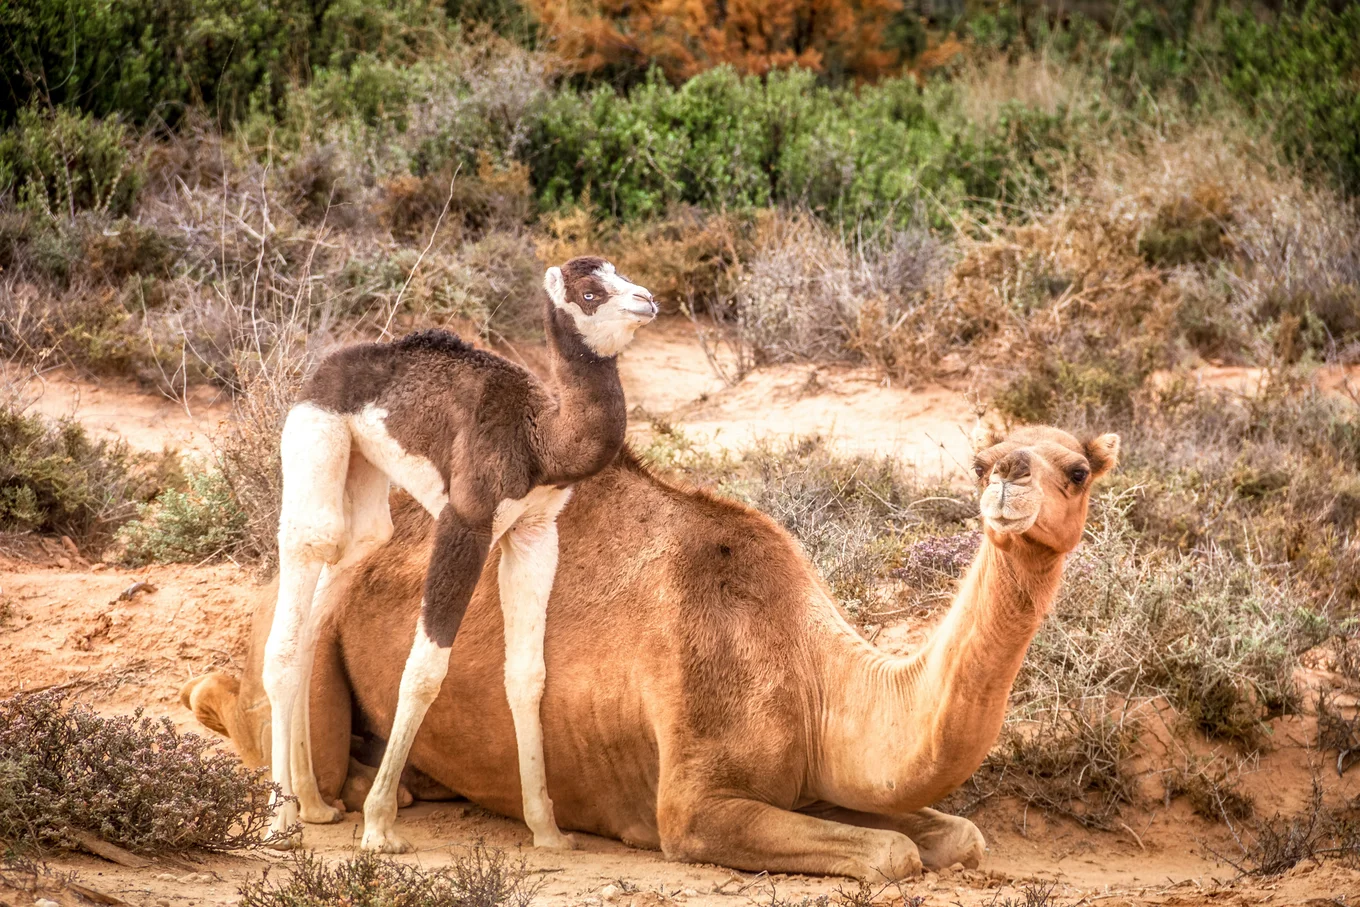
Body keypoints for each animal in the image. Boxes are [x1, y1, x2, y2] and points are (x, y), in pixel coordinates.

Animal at [185, 424, 1118, 879]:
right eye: (982, 461)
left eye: (1077, 469)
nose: (1010, 483)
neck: (813, 669)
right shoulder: (693, 803)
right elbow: (892, 854)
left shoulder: (815, 778)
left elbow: (956, 834)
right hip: (308, 628)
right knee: (267, 717)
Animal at [265, 257, 656, 852]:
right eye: (590, 292)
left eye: (620, 272)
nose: (647, 300)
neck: (541, 442)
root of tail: (325, 367)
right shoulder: (466, 524)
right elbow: (424, 670)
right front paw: (379, 826)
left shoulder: (535, 533)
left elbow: (527, 676)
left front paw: (548, 830)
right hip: (315, 445)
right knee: (299, 587)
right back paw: (279, 820)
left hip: (365, 492)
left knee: (335, 587)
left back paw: (314, 804)